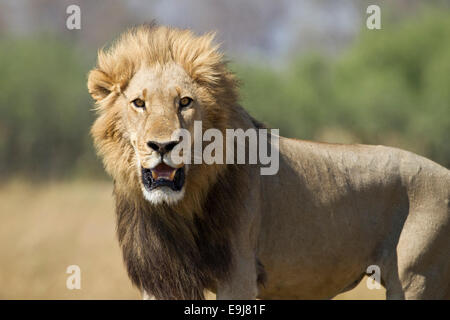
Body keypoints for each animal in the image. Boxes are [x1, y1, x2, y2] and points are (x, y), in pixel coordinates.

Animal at [88, 23, 450, 298]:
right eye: (139, 103)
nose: (163, 145)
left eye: (185, 102)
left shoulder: (238, 276)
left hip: (416, 278)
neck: (179, 207)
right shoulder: (160, 280)